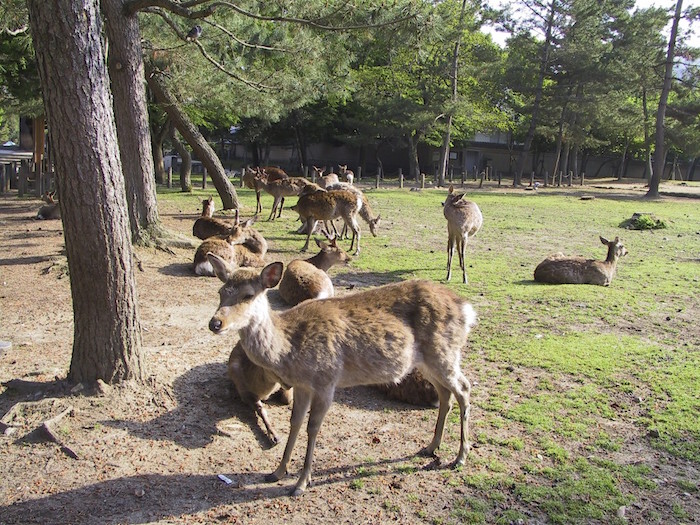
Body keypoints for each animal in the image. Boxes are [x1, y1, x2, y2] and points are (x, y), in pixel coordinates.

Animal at [207, 256, 477, 496]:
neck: (289, 349)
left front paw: (301, 484)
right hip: (428, 362)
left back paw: (460, 457)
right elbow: (295, 423)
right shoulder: (302, 385)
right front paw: (277, 472)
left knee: (464, 388)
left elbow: (312, 427)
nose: (215, 323)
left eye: (248, 295)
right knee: (446, 394)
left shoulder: (326, 381)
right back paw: (430, 447)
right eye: (220, 292)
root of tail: (467, 310)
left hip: (443, 353)